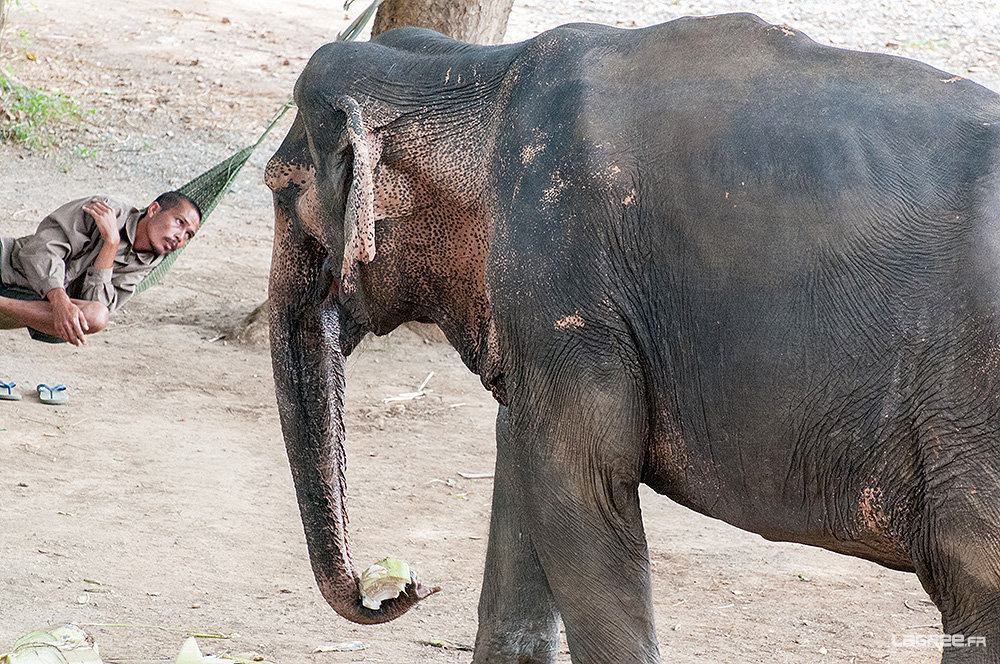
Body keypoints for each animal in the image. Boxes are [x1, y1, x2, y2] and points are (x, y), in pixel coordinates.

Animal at [266, 11, 1000, 664]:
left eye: (279, 189)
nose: (403, 587)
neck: (474, 74)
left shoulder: (562, 285)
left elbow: (581, 489)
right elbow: (528, 472)